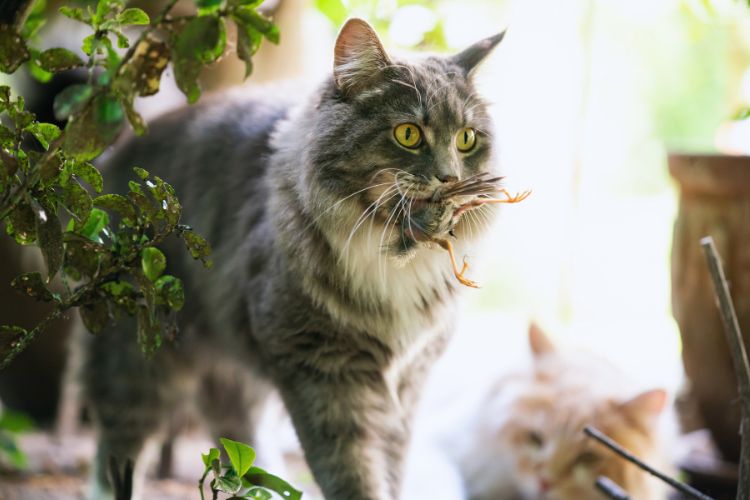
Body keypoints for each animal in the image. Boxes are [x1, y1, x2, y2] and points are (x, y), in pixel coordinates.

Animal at [81, 18, 506, 500]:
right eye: (409, 134)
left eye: (467, 139)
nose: (451, 179)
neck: (395, 256)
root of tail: (126, 146)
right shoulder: (321, 369)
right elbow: (352, 470)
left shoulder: (407, 382)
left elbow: (390, 467)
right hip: (137, 354)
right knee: (117, 447)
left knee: (236, 437)